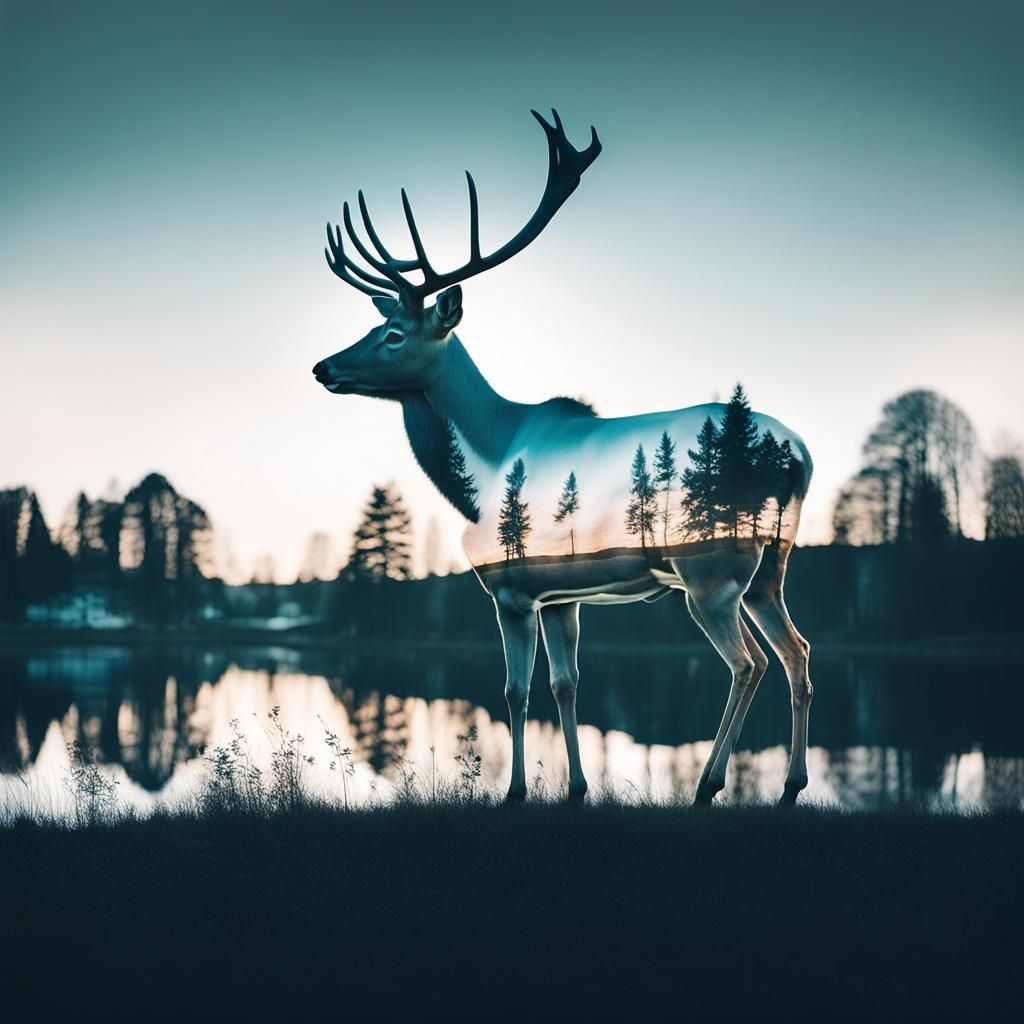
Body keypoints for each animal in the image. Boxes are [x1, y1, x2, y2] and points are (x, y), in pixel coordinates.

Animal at [313, 110, 815, 806]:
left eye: (393, 334)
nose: (324, 367)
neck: (485, 464)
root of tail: (801, 457)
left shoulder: (509, 587)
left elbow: (514, 691)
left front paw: (516, 791)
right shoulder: (562, 596)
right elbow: (566, 684)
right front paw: (576, 788)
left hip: (712, 570)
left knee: (749, 662)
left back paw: (710, 783)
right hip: (772, 566)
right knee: (799, 653)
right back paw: (792, 784)